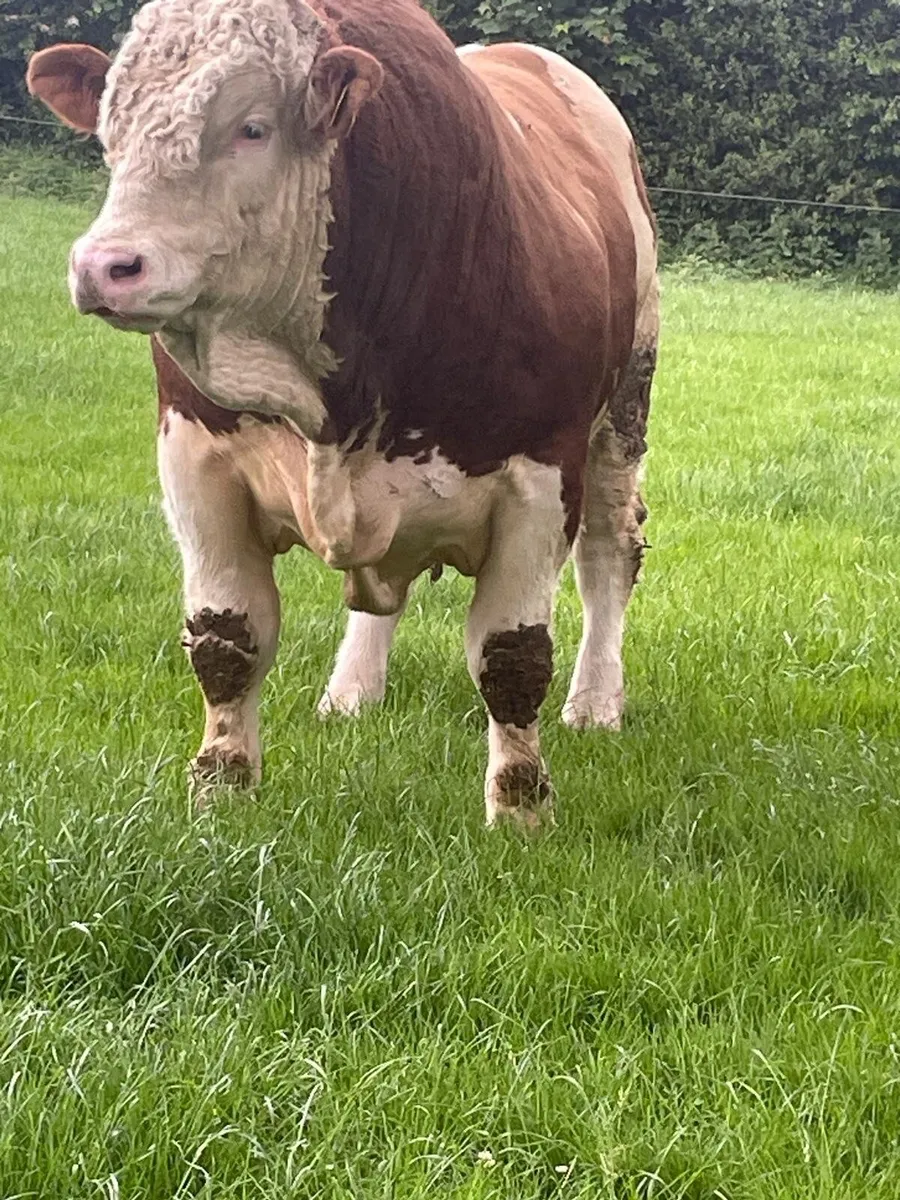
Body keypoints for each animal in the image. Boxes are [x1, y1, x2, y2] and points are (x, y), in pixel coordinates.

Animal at [27, 0, 658, 828]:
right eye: (111, 131)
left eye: (253, 127)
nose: (105, 266)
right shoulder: (194, 456)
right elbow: (227, 637)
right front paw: (221, 790)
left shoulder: (541, 475)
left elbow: (513, 657)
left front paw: (520, 811)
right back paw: (352, 690)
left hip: (625, 408)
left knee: (610, 553)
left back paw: (596, 700)